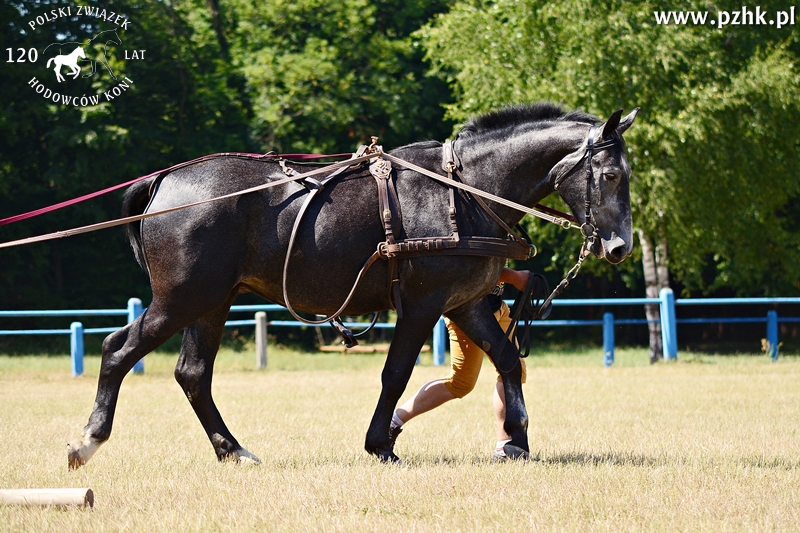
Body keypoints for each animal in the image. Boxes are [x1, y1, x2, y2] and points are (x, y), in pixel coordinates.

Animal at [69, 103, 640, 466]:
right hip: (183, 298)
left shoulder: (467, 303)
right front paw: (380, 443)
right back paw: (89, 440)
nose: (620, 247)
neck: (463, 191)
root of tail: (165, 181)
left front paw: (517, 439)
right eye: (612, 175)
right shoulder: (423, 306)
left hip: (211, 302)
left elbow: (505, 359)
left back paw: (232, 450)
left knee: (192, 373)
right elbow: (396, 373)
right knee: (117, 349)